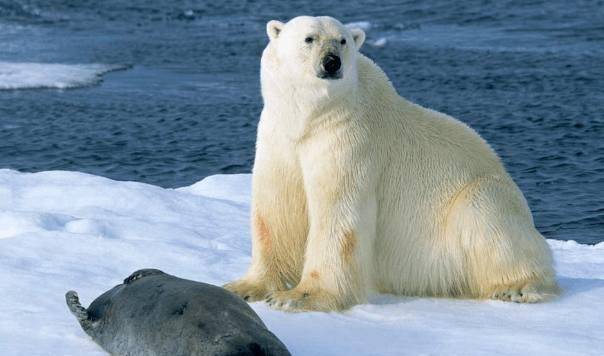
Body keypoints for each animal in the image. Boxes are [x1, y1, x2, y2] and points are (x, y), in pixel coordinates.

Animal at [224, 16, 560, 312]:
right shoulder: (279, 137)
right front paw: (246, 288)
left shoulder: (350, 137)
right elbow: (276, 208)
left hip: (480, 197)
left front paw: (300, 296)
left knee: (488, 218)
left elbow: (338, 214)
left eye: (343, 40)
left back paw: (516, 287)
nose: (332, 62)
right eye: (309, 38)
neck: (311, 116)